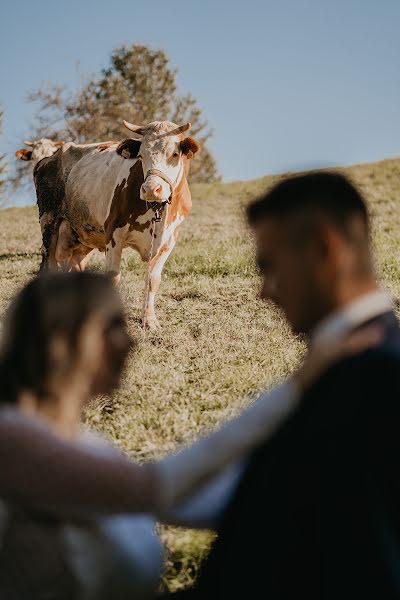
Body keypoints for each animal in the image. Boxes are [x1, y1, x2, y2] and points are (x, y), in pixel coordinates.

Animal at [17, 120, 200, 328]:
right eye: (141, 155)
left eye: (174, 154)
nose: (151, 189)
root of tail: (49, 158)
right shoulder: (114, 234)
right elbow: (113, 278)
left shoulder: (169, 241)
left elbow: (153, 280)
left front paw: (150, 321)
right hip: (48, 223)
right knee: (50, 266)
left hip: (80, 236)